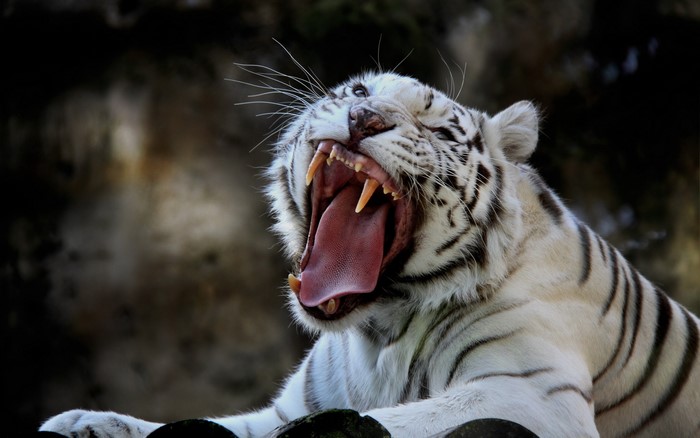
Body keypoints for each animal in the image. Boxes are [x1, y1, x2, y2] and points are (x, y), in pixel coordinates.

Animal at [40, 70, 699, 438]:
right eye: (357, 92)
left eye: (437, 130)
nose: (364, 116)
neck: (380, 328)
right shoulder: (291, 409)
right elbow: (202, 425)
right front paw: (81, 422)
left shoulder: (526, 392)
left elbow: (399, 419)